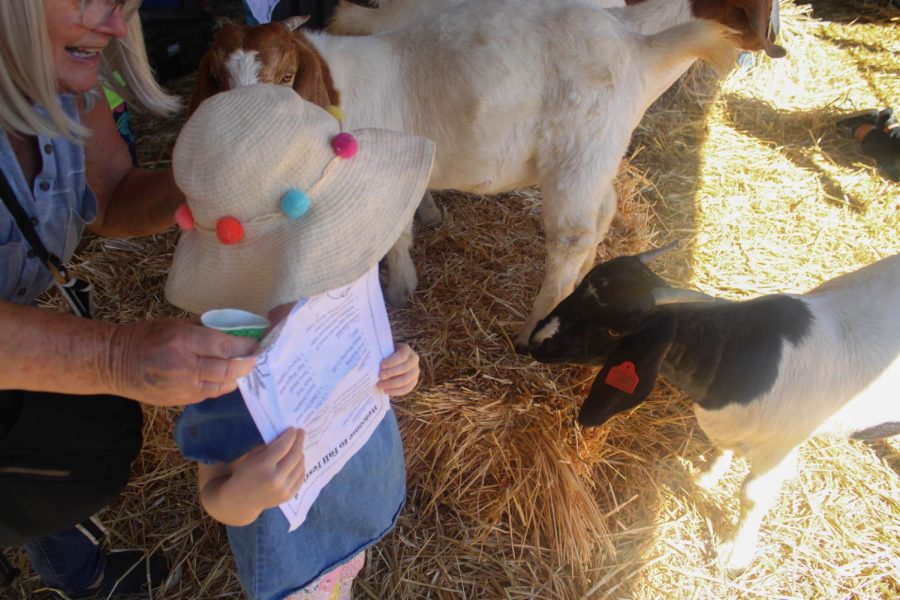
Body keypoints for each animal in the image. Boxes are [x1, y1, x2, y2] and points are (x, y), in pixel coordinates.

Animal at [193, 0, 784, 346]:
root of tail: (637, 46)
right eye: (217, 78)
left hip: (577, 154)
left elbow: (394, 236)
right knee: (600, 218)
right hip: (595, 157)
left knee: (571, 236)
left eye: (286, 76)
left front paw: (399, 290)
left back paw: (534, 330)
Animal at [528, 246, 900, 576]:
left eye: (615, 328)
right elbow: (721, 448)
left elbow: (752, 496)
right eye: (580, 287)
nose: (535, 341)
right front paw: (705, 477)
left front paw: (736, 557)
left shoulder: (778, 450)